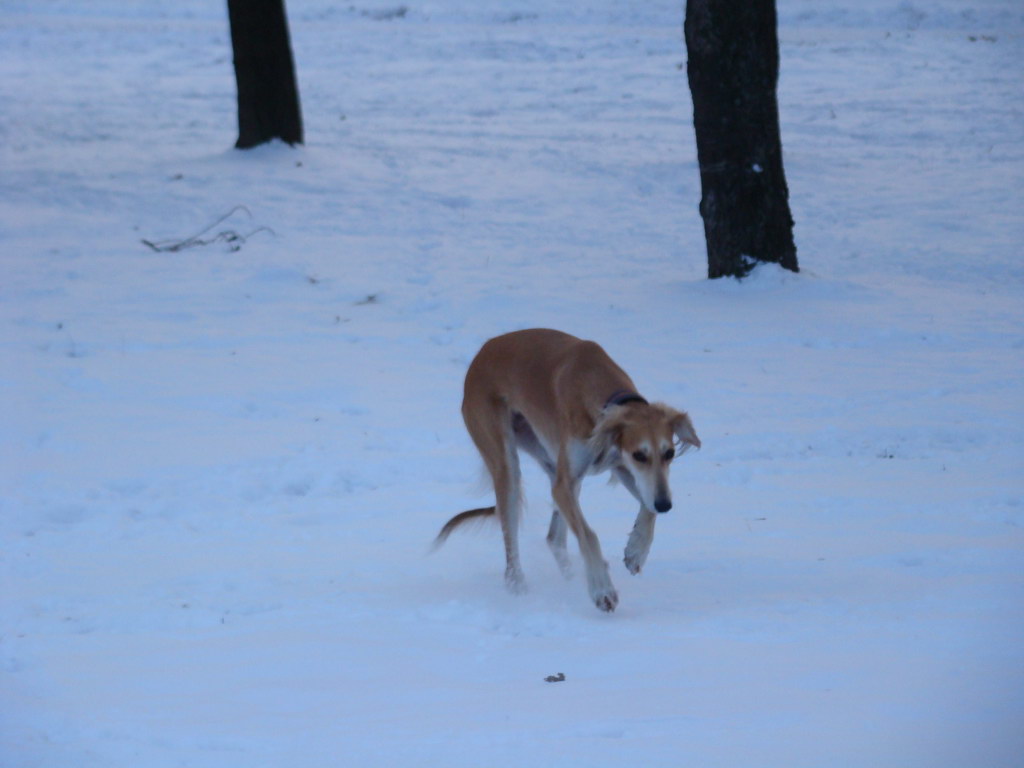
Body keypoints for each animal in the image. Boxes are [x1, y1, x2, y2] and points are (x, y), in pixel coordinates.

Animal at [436, 329, 700, 614]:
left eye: (669, 453)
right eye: (639, 455)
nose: (666, 505)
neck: (600, 387)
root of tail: (480, 355)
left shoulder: (621, 467)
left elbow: (646, 507)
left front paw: (636, 550)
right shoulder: (575, 481)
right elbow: (589, 535)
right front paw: (601, 589)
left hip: (552, 462)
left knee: (554, 537)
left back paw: (570, 576)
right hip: (507, 463)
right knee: (512, 541)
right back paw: (519, 588)